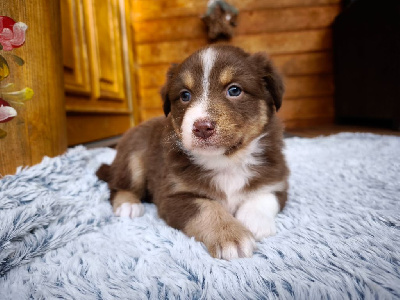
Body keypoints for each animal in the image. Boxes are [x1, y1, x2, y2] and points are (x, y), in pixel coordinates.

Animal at [97, 44, 290, 260]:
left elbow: (264, 196)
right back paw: (128, 205)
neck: (225, 161)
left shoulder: (276, 179)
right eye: (185, 95)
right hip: (133, 157)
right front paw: (231, 235)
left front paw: (254, 222)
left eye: (234, 90)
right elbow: (207, 208)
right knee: (116, 186)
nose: (202, 127)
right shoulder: (173, 195)